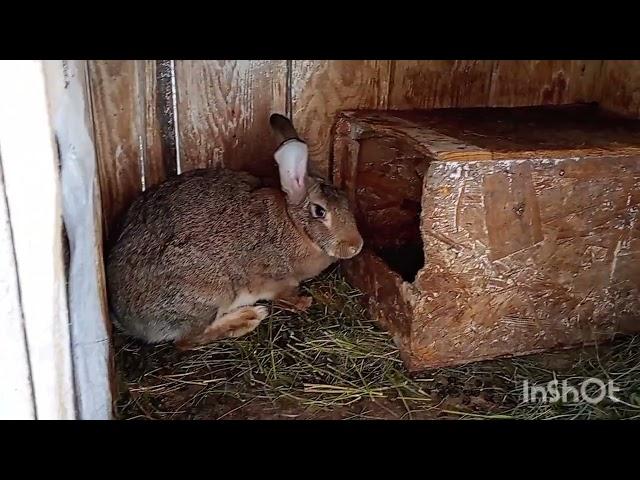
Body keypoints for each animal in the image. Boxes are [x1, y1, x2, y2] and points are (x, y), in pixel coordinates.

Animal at [107, 114, 362, 350]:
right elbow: (285, 295)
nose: (355, 246)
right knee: (187, 341)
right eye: (320, 211)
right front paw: (303, 302)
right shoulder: (276, 279)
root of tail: (126, 320)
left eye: (346, 201)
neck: (294, 225)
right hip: (210, 294)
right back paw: (248, 317)